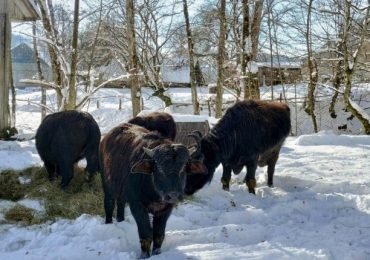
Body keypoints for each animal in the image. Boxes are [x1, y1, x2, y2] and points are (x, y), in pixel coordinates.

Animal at [99, 123, 207, 258]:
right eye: (159, 169)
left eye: (183, 168)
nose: (173, 196)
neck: (154, 193)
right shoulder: (137, 206)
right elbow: (146, 234)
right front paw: (144, 255)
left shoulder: (166, 209)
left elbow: (159, 234)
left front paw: (157, 253)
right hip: (107, 186)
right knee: (108, 205)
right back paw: (108, 224)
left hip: (121, 193)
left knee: (120, 205)